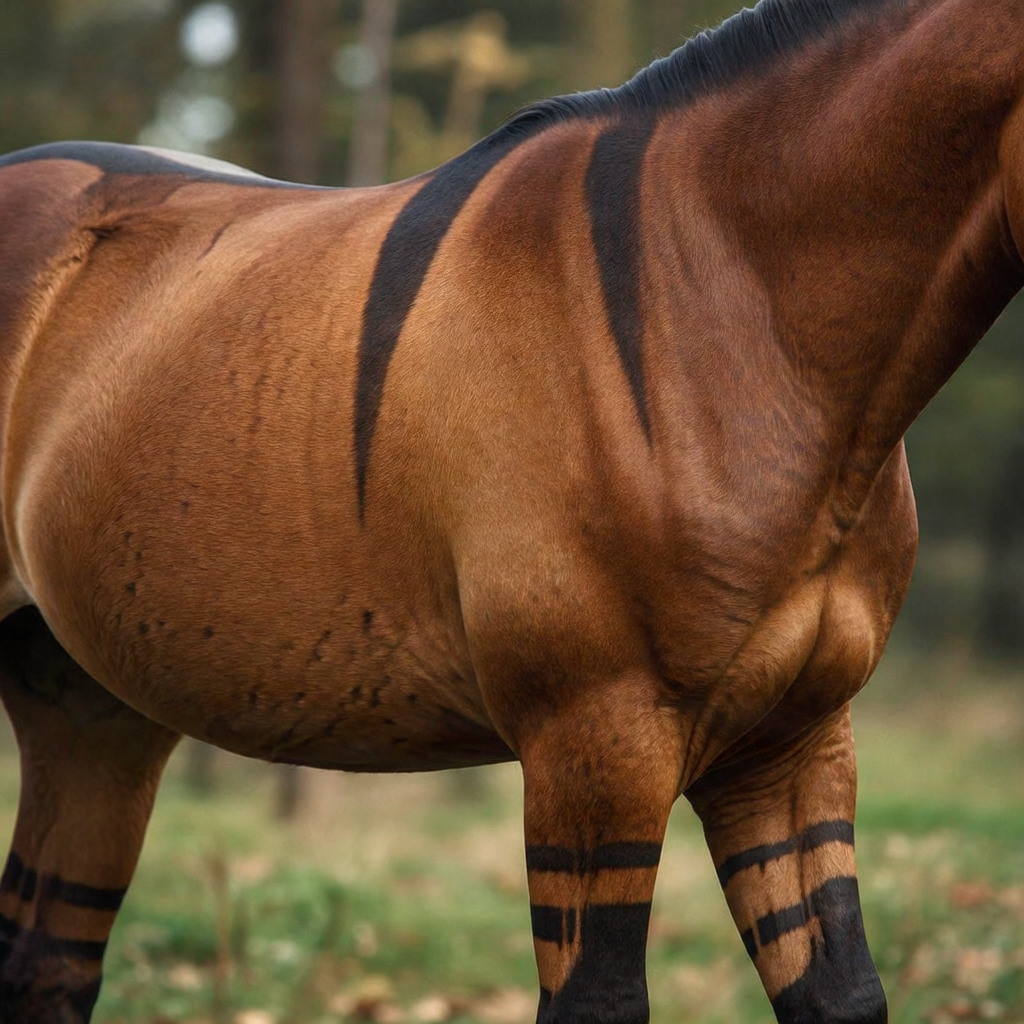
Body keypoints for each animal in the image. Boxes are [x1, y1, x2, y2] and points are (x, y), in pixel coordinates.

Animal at [0, 0, 1020, 1019]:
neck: (734, 304)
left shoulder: (794, 748)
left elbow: (842, 993)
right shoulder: (596, 744)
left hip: (91, 710)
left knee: (47, 958)